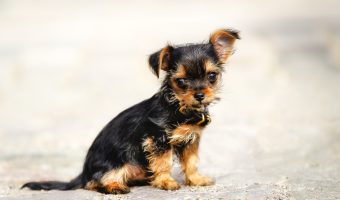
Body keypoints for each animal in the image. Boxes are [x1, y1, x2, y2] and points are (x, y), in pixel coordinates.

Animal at [21, 28, 239, 194]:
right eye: (182, 81)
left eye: (212, 76)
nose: (200, 95)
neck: (178, 106)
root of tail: (83, 173)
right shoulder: (157, 139)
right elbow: (164, 163)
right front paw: (166, 182)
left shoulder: (191, 139)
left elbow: (191, 161)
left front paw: (196, 180)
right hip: (120, 161)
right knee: (96, 182)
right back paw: (115, 186)